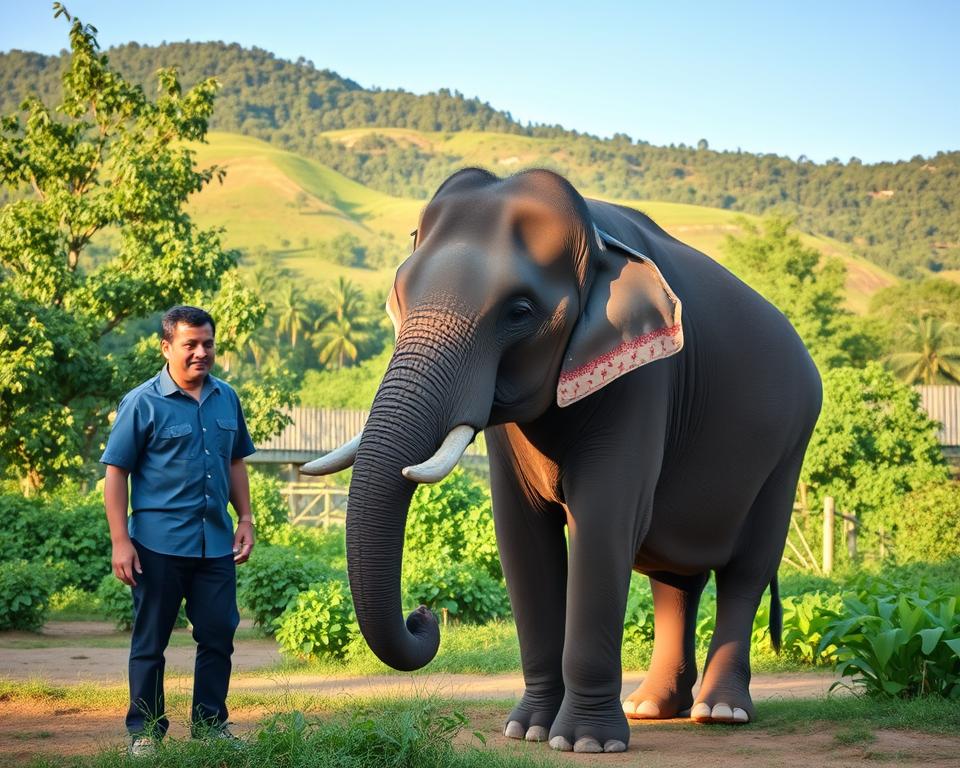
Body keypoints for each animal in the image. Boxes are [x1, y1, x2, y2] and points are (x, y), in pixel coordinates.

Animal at [301, 168, 822, 754]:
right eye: (399, 297)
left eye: (519, 312)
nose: (423, 616)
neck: (596, 239)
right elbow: (521, 534)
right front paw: (527, 731)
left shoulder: (644, 380)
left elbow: (604, 522)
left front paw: (586, 743)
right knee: (675, 579)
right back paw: (650, 707)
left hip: (789, 449)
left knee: (747, 569)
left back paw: (720, 712)